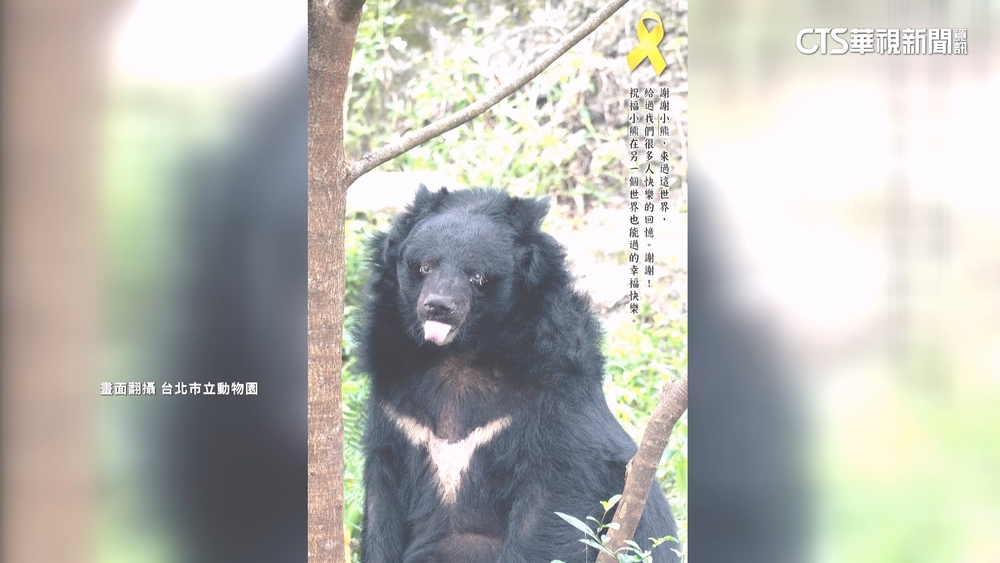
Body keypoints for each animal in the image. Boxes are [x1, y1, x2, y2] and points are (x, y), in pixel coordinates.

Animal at [356, 186, 679, 563]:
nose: (437, 306)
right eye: (423, 266)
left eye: (477, 276)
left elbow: (553, 505)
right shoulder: (396, 408)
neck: (457, 354)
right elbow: (382, 506)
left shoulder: (553, 399)